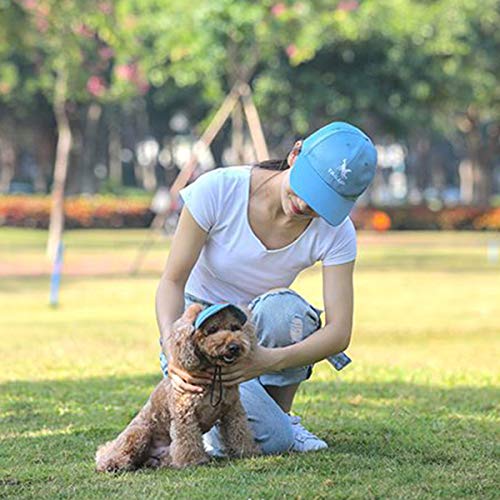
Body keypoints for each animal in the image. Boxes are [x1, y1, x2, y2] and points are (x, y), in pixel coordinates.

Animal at [94, 302, 260, 470]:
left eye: (235, 328)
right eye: (212, 330)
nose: (234, 347)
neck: (213, 374)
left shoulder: (233, 411)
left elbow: (240, 432)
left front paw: (247, 452)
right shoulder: (185, 414)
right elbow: (187, 440)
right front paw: (193, 461)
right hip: (139, 432)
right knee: (114, 453)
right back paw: (112, 464)